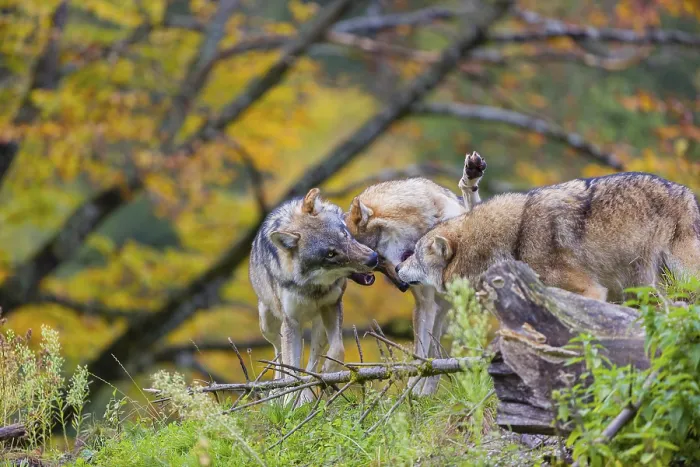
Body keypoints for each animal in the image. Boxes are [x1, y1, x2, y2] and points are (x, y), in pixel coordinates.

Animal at [250, 188, 378, 403]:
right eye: (330, 254)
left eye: (345, 234)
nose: (373, 258)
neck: (312, 288)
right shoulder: (291, 322)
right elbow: (291, 370)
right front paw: (287, 403)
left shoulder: (333, 306)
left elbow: (337, 350)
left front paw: (327, 373)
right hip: (269, 326)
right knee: (279, 355)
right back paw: (276, 394)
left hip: (319, 327)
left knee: (312, 362)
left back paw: (307, 397)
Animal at [345, 153, 487, 396]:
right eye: (376, 268)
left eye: (377, 258)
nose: (402, 286)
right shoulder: (424, 303)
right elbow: (419, 359)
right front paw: (412, 394)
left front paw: (470, 177)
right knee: (434, 356)